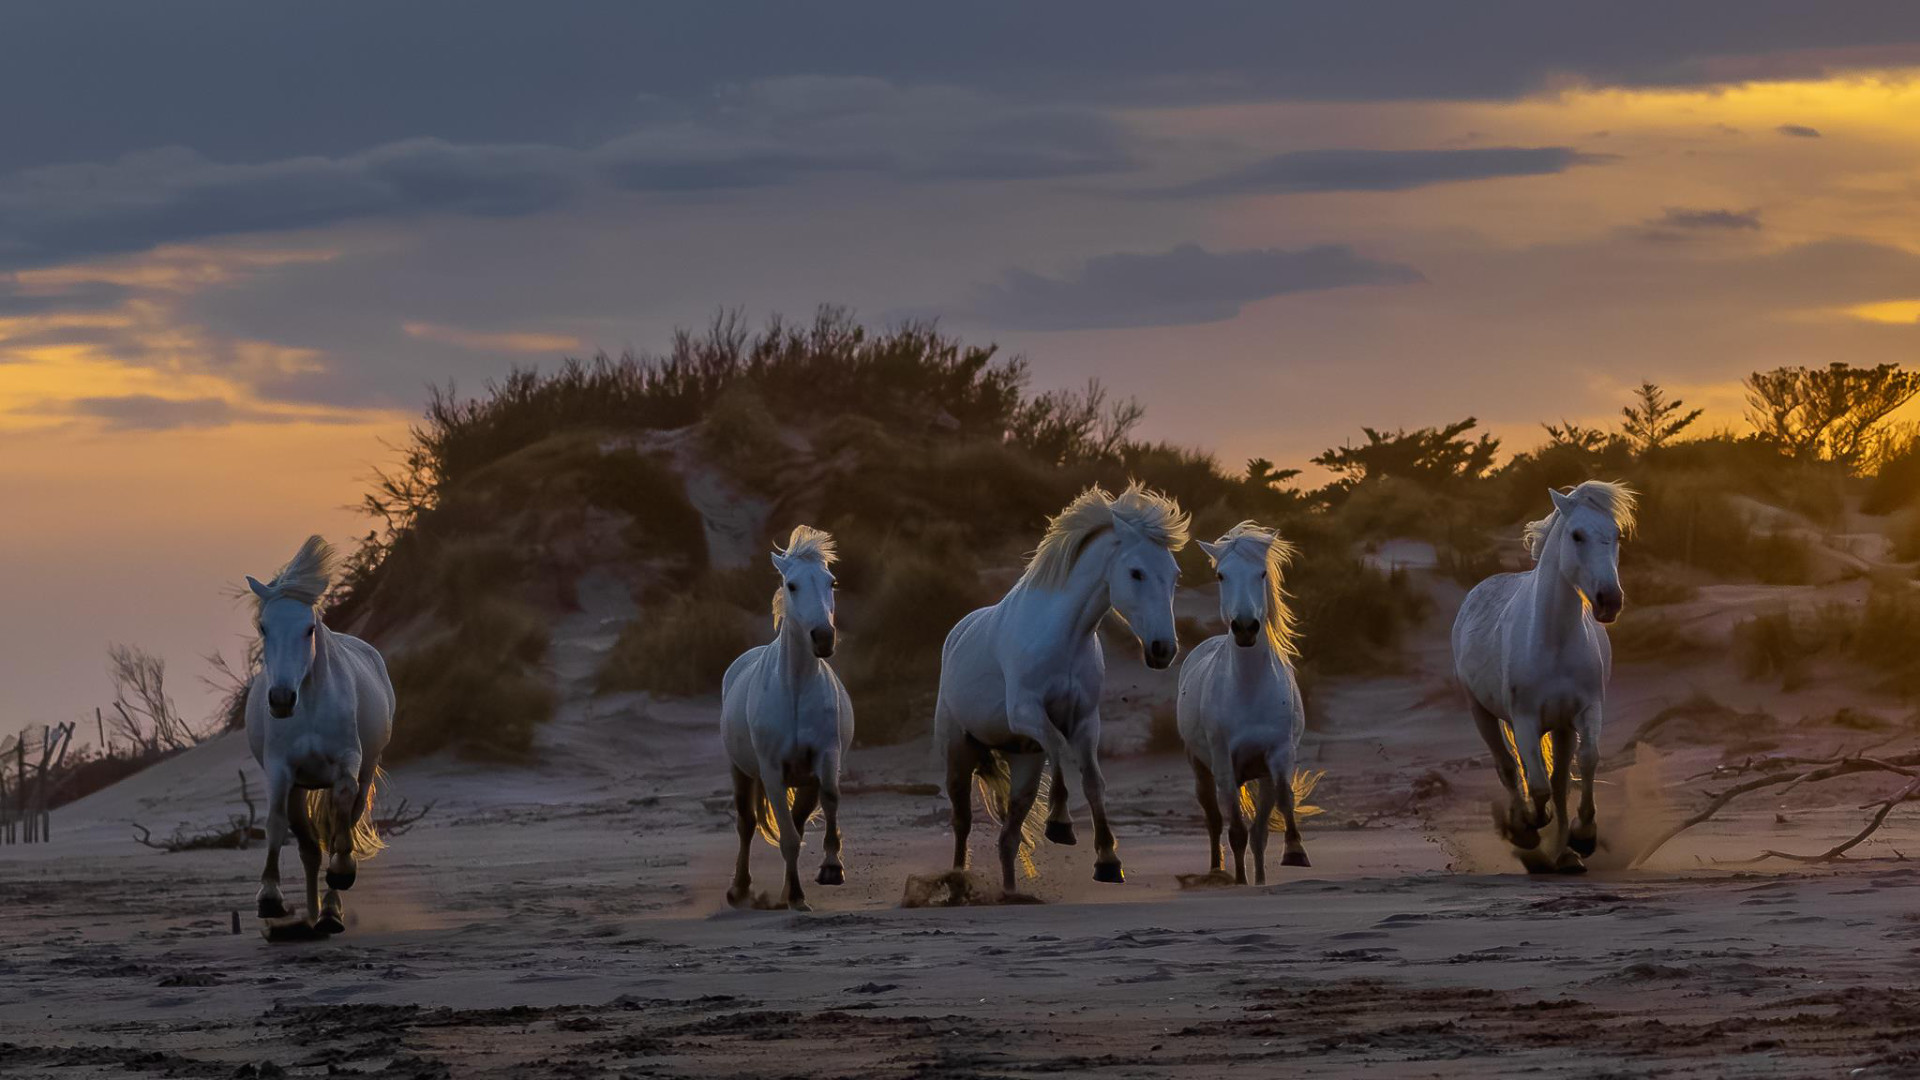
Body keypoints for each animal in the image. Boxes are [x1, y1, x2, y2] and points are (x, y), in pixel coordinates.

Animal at [243, 534, 393, 930]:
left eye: (308, 629)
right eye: (263, 627)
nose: (281, 700)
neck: (309, 707)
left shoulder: (348, 760)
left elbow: (341, 810)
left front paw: (341, 872)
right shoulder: (280, 769)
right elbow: (275, 823)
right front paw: (270, 897)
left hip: (367, 768)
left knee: (346, 818)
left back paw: (329, 910)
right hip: (299, 785)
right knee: (309, 850)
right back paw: (313, 915)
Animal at [718, 522, 852, 907]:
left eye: (831, 582)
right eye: (792, 585)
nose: (823, 638)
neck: (794, 689)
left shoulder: (825, 756)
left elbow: (830, 798)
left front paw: (831, 868)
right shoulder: (772, 770)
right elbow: (787, 838)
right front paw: (795, 896)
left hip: (803, 780)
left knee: (798, 818)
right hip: (741, 771)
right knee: (746, 823)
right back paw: (740, 889)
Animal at [933, 480, 1182, 891]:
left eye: (1174, 574)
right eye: (1136, 572)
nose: (1163, 650)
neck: (1065, 637)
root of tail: (956, 633)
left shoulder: (1085, 721)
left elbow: (1094, 781)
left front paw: (1108, 862)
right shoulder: (1026, 712)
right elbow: (1058, 746)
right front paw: (1061, 825)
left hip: (1023, 763)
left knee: (1008, 835)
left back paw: (1011, 892)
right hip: (958, 750)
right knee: (962, 820)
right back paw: (957, 882)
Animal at [1175, 522, 1313, 883]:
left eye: (1261, 573)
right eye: (1221, 575)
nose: (1245, 628)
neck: (1249, 689)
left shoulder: (1278, 755)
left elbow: (1278, 808)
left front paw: (1294, 852)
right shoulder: (1223, 760)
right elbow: (1236, 831)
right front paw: (1241, 880)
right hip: (1200, 765)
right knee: (1213, 819)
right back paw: (1217, 871)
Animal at [1451, 478, 1635, 864]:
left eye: (1616, 535)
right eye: (1577, 535)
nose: (1610, 601)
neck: (1554, 641)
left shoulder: (1586, 710)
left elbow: (1586, 762)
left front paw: (1584, 835)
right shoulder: (1524, 719)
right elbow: (1535, 783)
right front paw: (1529, 826)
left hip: (1562, 728)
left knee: (1560, 779)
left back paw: (1566, 855)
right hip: (1481, 712)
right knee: (1508, 766)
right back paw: (1529, 832)